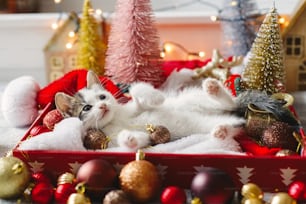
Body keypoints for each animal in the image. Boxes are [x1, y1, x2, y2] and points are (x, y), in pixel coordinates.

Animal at [53, 71, 243, 151]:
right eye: (86, 108)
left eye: (102, 97)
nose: (103, 106)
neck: (114, 119)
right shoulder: (111, 141)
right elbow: (140, 140)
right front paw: (129, 139)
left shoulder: (133, 107)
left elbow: (137, 91)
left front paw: (156, 97)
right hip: (207, 124)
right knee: (237, 126)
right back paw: (222, 130)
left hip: (192, 100)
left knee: (230, 104)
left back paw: (213, 89)